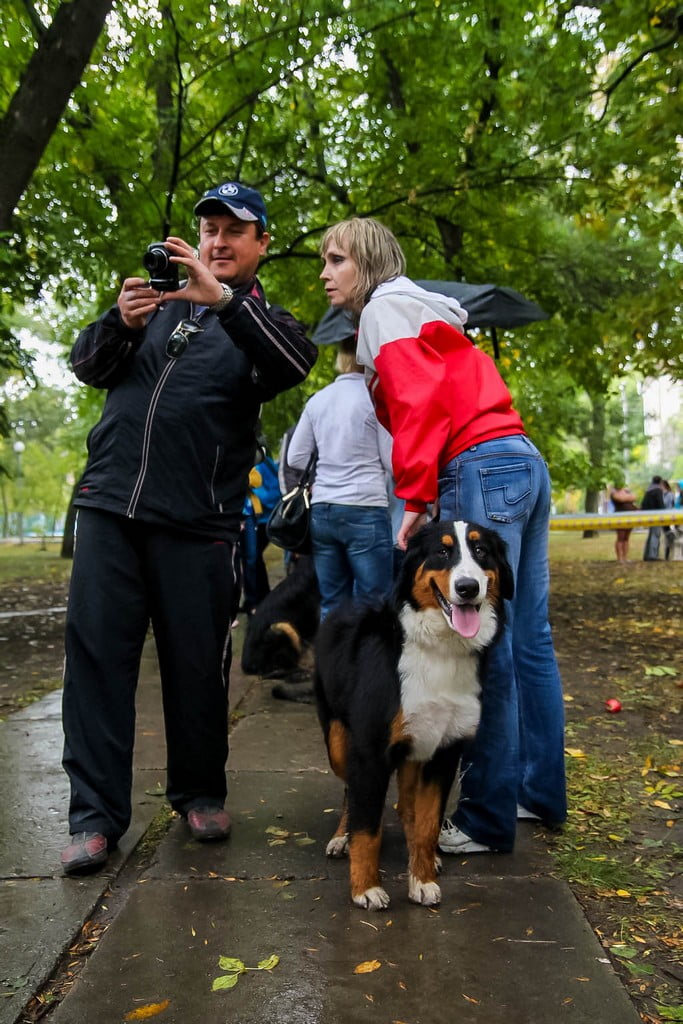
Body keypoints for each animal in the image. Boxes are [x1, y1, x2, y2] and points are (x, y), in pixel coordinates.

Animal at [313, 524, 509, 909]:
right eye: (442, 552)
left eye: (481, 550)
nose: (468, 587)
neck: (440, 650)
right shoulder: (370, 750)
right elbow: (368, 827)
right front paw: (365, 888)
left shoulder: (444, 751)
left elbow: (427, 823)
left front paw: (421, 879)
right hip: (340, 744)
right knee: (350, 791)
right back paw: (342, 837)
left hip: (415, 747)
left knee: (407, 806)